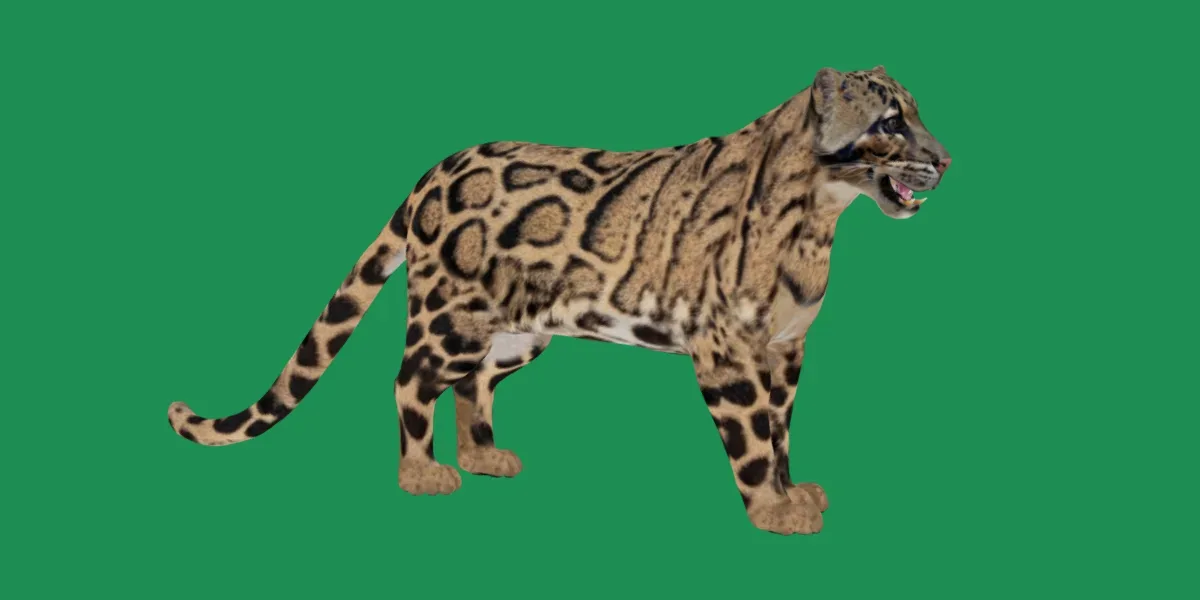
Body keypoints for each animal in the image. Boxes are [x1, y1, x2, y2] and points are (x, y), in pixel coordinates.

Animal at [165, 65, 952, 535]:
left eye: (917, 115)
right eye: (889, 123)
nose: (945, 159)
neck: (819, 223)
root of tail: (434, 171)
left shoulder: (785, 349)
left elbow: (782, 428)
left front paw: (793, 492)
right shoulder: (727, 348)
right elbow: (754, 438)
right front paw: (772, 509)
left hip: (516, 333)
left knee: (473, 384)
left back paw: (484, 455)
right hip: (450, 317)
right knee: (411, 380)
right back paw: (423, 473)